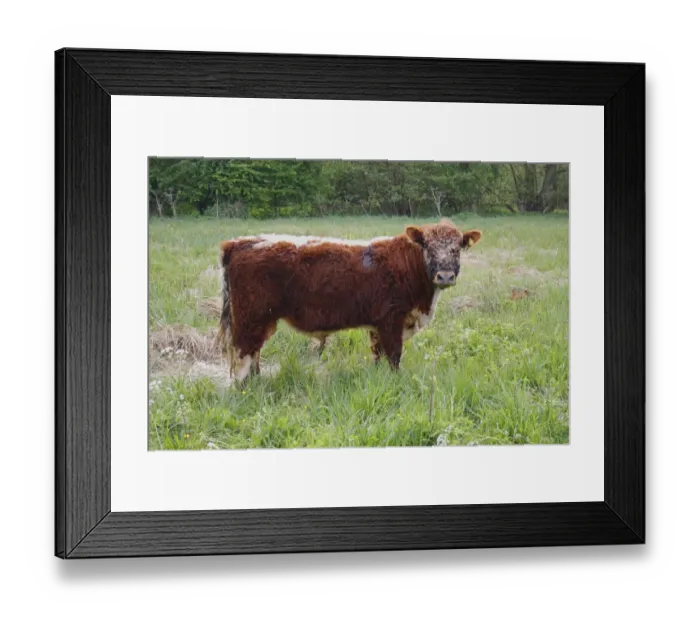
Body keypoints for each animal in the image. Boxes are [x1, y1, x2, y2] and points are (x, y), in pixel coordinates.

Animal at [217, 219, 482, 383]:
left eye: (457, 248)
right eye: (427, 246)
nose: (445, 276)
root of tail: (239, 242)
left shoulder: (378, 326)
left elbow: (379, 356)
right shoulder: (391, 320)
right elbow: (394, 357)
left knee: (254, 352)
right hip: (249, 318)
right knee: (244, 354)